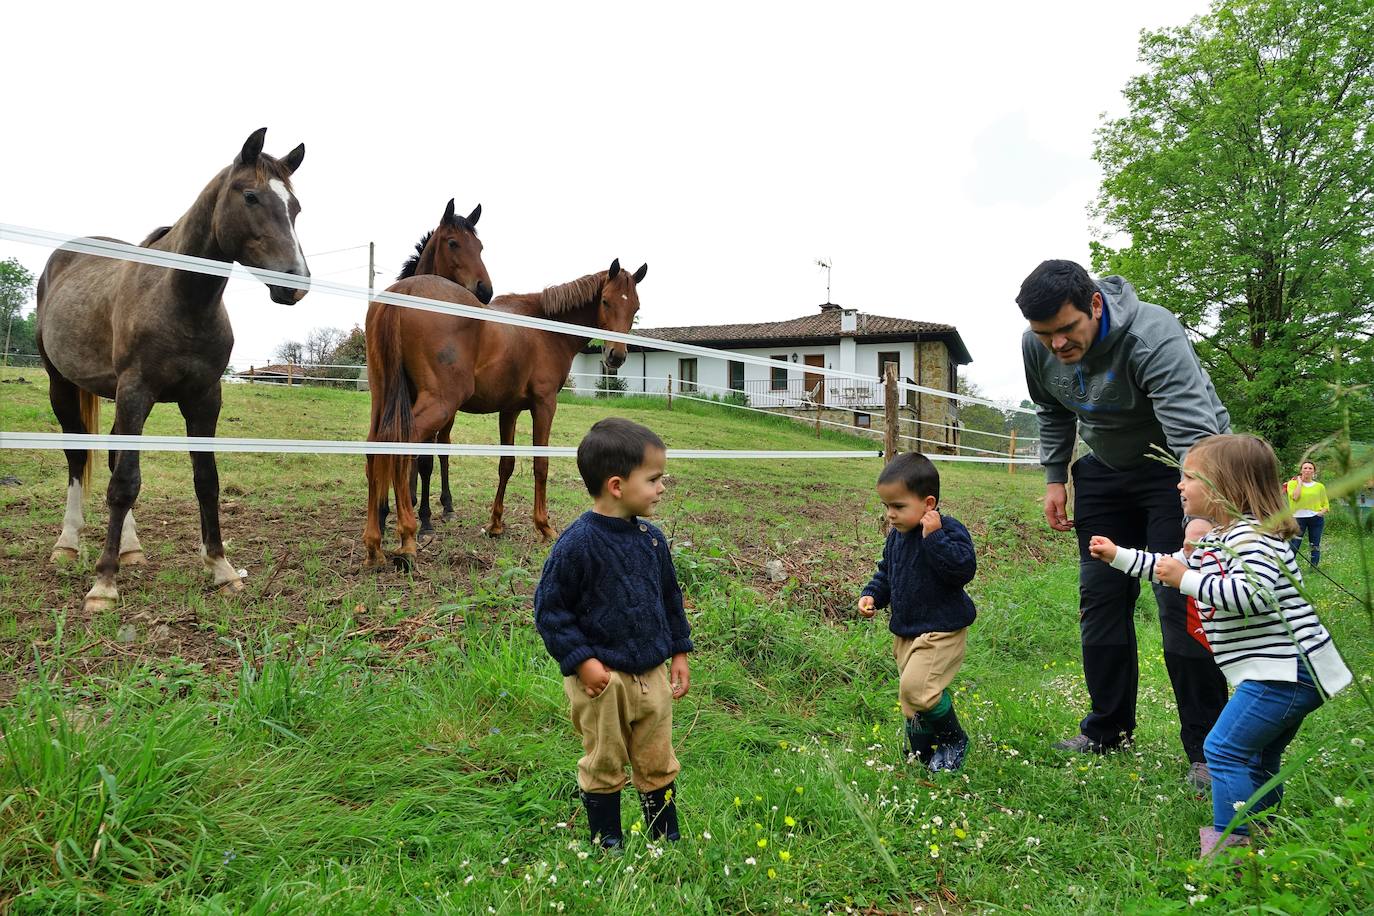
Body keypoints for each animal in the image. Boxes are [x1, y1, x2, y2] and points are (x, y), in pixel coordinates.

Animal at [32, 129, 311, 612]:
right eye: (251, 196)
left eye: (294, 207)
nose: (295, 283)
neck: (182, 298)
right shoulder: (137, 391)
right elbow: (125, 482)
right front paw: (103, 583)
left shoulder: (203, 399)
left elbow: (206, 480)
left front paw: (221, 567)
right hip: (62, 386)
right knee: (78, 457)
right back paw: (68, 544)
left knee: (109, 458)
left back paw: (131, 548)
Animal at [362, 260, 645, 568]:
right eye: (605, 301)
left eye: (635, 307)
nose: (616, 356)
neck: (544, 328)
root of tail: (405, 290)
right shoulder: (544, 405)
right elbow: (540, 465)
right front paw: (544, 526)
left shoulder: (509, 410)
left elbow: (506, 465)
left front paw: (496, 524)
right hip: (439, 403)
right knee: (399, 446)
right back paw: (408, 538)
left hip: (384, 399)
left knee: (375, 448)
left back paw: (374, 545)